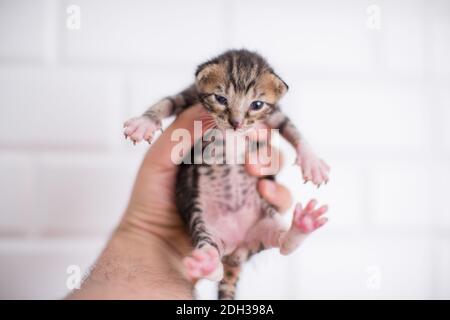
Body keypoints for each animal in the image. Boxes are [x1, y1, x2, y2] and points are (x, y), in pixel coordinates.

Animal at [125, 48, 328, 298]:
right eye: (221, 99)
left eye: (257, 104)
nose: (236, 124)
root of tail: (235, 252)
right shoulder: (189, 96)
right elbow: (167, 102)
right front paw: (143, 123)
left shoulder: (275, 115)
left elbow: (294, 131)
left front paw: (313, 162)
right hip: (203, 224)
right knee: (215, 264)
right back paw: (205, 263)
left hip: (264, 222)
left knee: (282, 244)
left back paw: (303, 224)